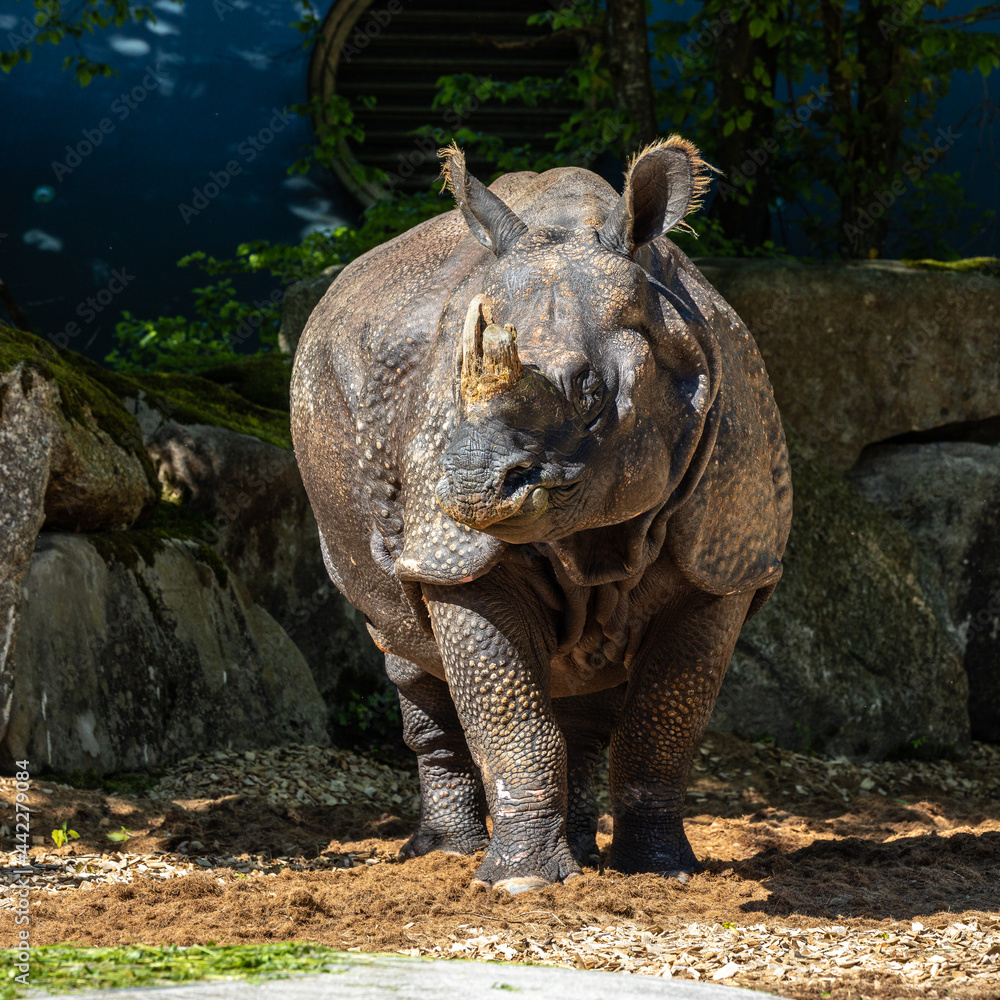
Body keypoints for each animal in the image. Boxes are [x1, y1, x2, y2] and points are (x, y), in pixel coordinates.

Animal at [291, 138, 792, 892]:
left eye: (591, 393)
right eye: (456, 380)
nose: (471, 488)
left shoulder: (727, 559)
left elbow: (662, 725)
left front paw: (662, 872)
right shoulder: (455, 553)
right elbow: (509, 719)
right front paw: (519, 882)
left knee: (588, 689)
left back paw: (579, 853)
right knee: (401, 642)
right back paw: (446, 854)